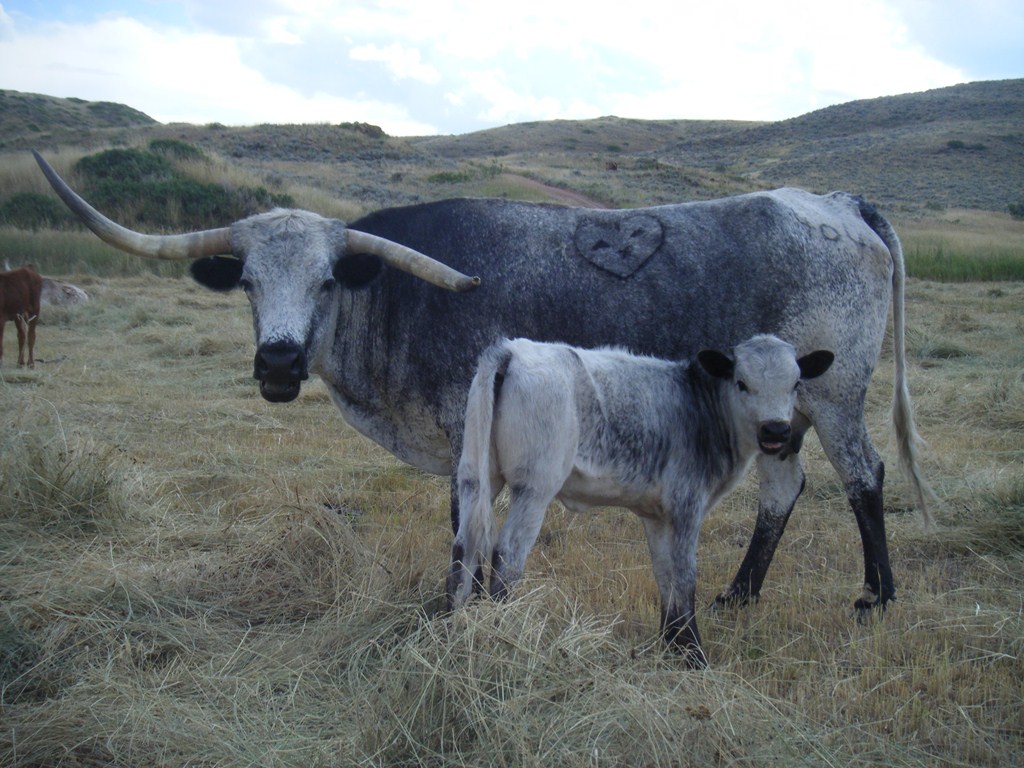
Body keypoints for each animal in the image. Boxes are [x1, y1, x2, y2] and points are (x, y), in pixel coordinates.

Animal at [33, 149, 931, 617]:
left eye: (325, 281)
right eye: (250, 282)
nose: (280, 364)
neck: (393, 298)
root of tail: (837, 200)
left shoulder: (466, 433)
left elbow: (466, 529)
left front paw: (450, 605)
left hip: (832, 394)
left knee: (864, 477)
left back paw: (877, 595)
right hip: (779, 408)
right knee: (785, 488)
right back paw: (739, 596)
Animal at [447, 334, 835, 667]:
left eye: (795, 384)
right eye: (742, 382)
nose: (776, 431)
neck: (701, 410)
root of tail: (513, 349)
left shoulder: (657, 515)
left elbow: (665, 575)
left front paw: (673, 645)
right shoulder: (686, 505)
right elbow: (685, 576)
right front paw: (695, 657)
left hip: (475, 474)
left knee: (464, 545)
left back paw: (451, 625)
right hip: (534, 487)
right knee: (507, 554)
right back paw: (502, 633)